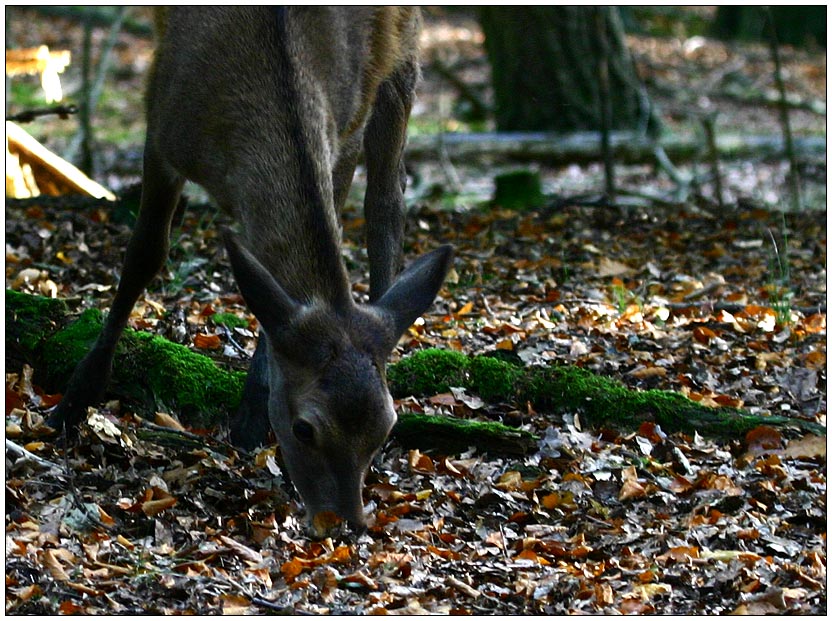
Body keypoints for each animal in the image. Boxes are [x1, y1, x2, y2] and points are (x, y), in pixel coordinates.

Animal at [50, 6, 456, 536]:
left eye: (387, 427)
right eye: (304, 428)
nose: (345, 523)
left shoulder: (343, 129)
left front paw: (249, 414)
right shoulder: (162, 127)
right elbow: (145, 253)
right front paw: (74, 400)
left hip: (403, 48)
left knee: (388, 197)